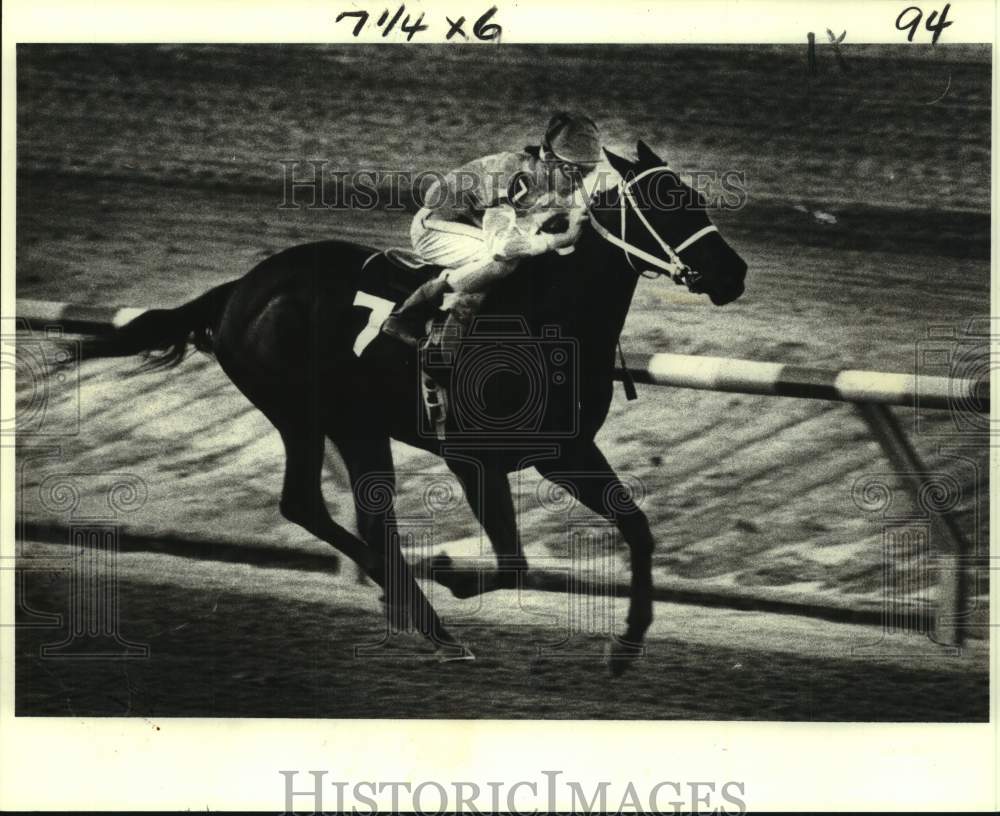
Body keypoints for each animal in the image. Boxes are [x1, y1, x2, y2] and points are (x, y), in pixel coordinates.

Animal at [78, 142, 748, 676]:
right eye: (668, 203)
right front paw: (449, 570)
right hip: (300, 413)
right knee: (308, 506)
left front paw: (627, 645)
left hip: (356, 426)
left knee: (354, 517)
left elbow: (637, 529)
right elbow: (512, 563)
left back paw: (416, 613)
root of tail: (240, 289)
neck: (547, 318)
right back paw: (420, 614)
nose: (734, 273)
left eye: (692, 196)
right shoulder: (474, 459)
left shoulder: (567, 452)